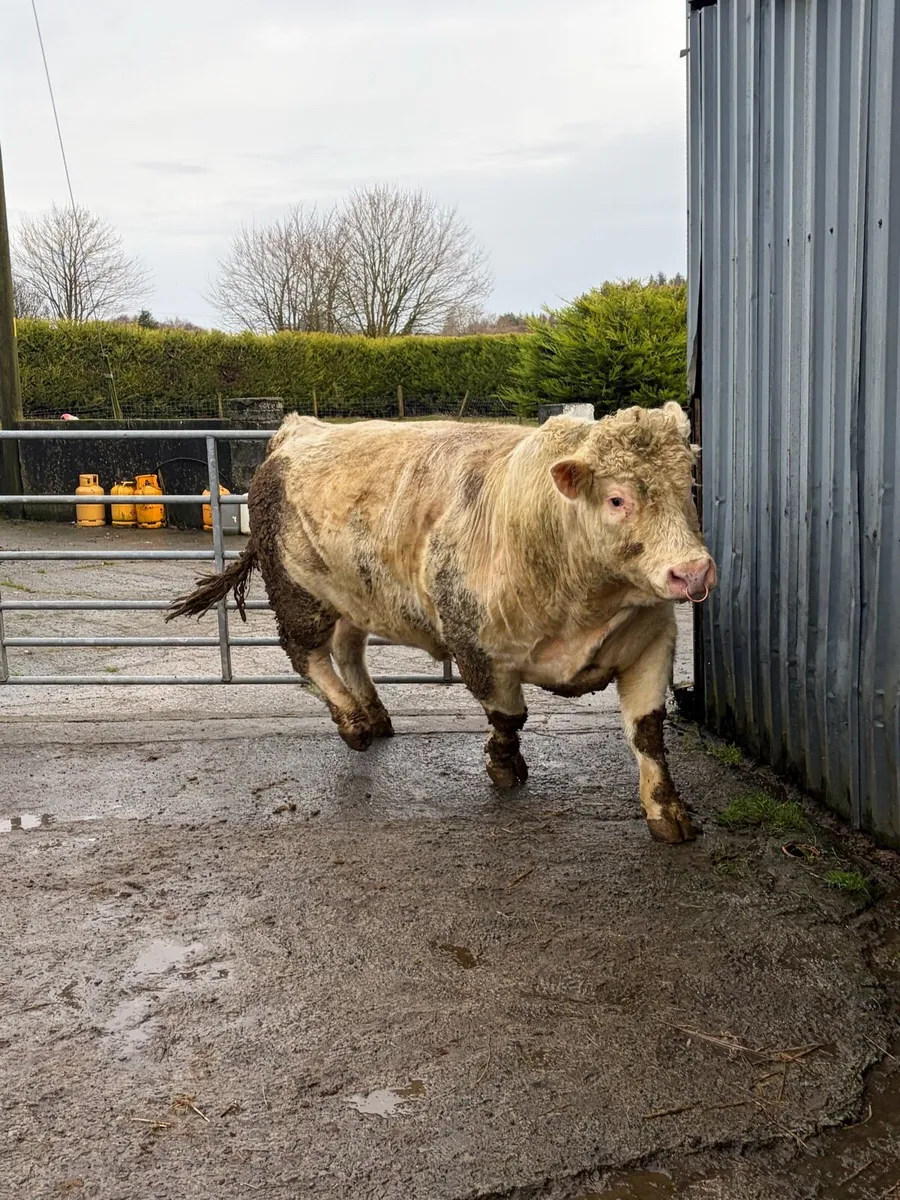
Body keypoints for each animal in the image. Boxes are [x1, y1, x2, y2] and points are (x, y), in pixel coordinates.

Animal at [168, 402, 716, 843]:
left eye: (688, 484)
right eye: (617, 498)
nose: (692, 571)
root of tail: (296, 430)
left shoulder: (652, 643)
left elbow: (648, 732)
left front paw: (667, 811)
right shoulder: (477, 646)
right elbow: (508, 717)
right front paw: (504, 766)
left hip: (357, 593)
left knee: (347, 648)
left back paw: (374, 713)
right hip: (297, 590)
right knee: (306, 653)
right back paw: (352, 722)